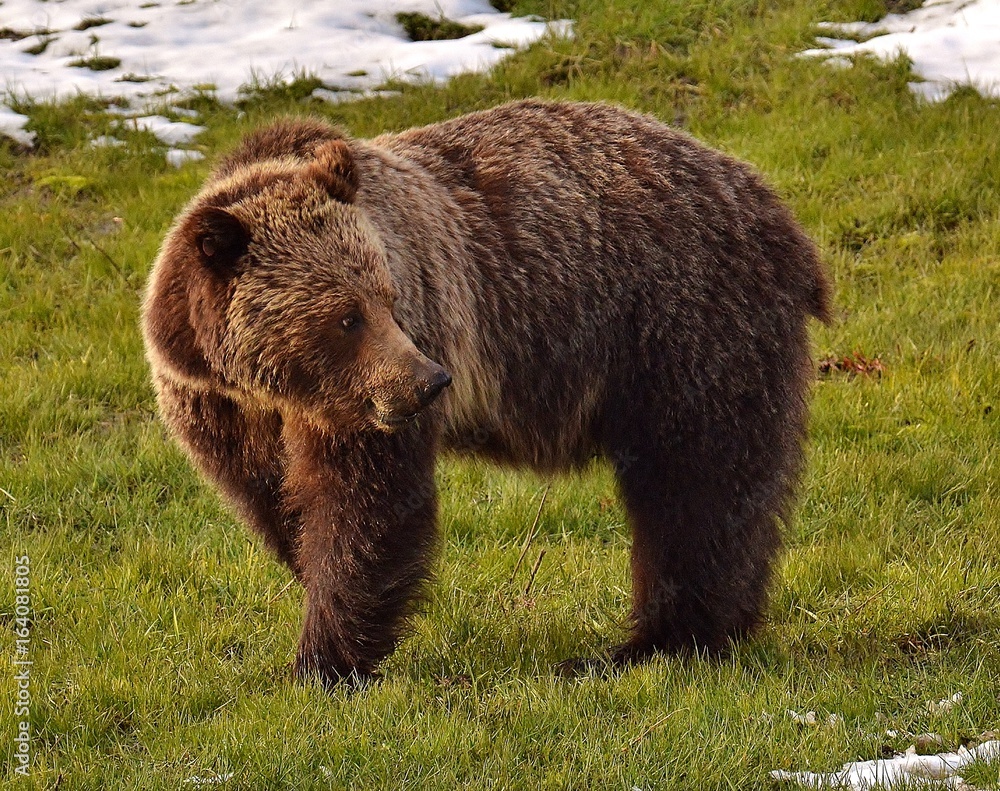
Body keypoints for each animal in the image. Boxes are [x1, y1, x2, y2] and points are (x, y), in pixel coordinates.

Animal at [142, 99, 830, 687]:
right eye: (347, 317)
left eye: (388, 299)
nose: (428, 382)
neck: (273, 389)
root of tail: (773, 209)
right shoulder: (221, 411)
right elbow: (277, 500)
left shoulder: (368, 395)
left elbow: (367, 507)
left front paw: (323, 661)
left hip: (681, 324)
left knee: (698, 484)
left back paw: (654, 644)